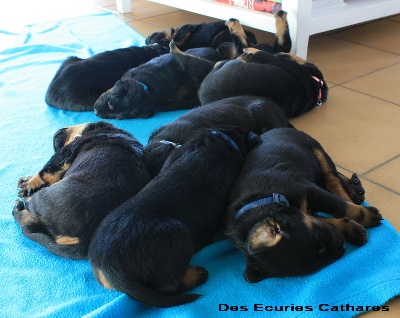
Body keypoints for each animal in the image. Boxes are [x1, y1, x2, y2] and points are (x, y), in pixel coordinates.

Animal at [12, 121, 150, 258]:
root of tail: (84, 239)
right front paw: (24, 179)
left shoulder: (62, 155)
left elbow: (42, 173)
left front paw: (25, 186)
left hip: (42, 197)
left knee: (28, 218)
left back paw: (20, 204)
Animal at [88, 125, 260, 306]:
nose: (257, 136)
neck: (219, 138)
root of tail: (106, 264)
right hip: (179, 234)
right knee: (168, 287)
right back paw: (196, 275)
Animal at [227, 129, 382, 284]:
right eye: (317, 266)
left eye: (318, 238)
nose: (343, 247)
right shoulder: (307, 214)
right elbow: (329, 221)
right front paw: (353, 230)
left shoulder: (310, 191)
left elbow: (341, 206)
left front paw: (368, 216)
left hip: (317, 152)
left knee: (333, 179)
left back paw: (353, 192)